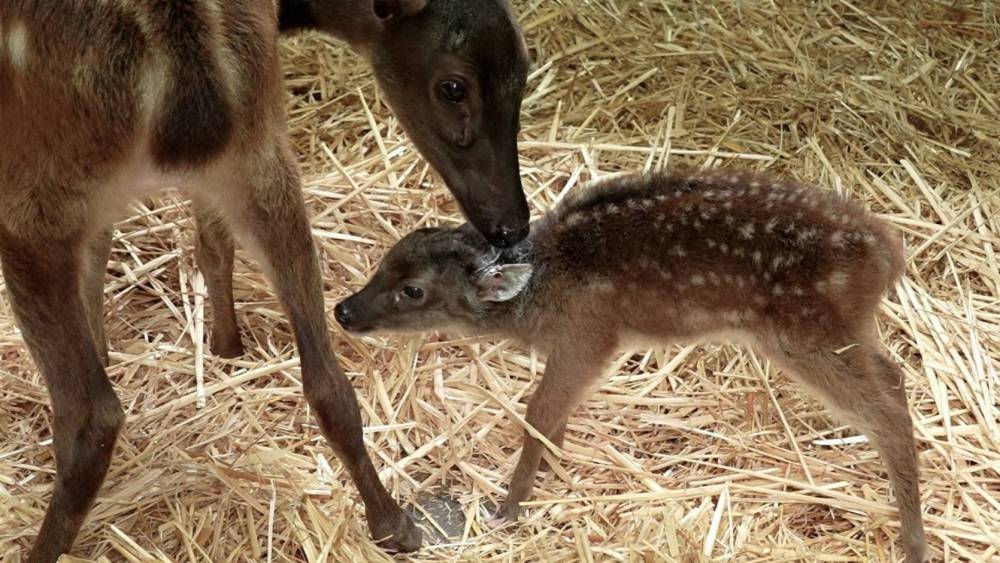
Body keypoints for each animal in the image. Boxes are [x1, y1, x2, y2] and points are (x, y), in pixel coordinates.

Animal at [0, 0, 530, 560]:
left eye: (523, 72)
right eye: (453, 87)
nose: (511, 224)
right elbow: (206, 243)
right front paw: (227, 347)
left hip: (38, 201)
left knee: (91, 416)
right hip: (263, 163)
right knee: (328, 380)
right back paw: (396, 525)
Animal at [336, 168, 929, 562]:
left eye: (413, 291)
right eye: (387, 259)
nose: (343, 310)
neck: (540, 294)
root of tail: (889, 254)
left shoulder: (589, 335)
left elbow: (538, 413)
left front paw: (508, 508)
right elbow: (554, 415)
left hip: (803, 333)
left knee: (886, 409)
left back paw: (914, 542)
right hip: (843, 329)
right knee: (895, 375)